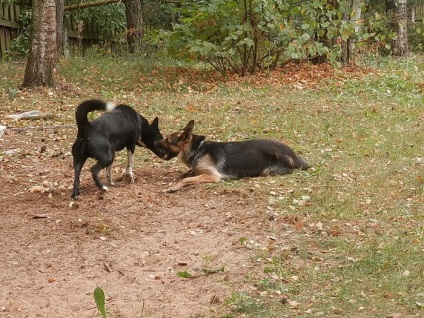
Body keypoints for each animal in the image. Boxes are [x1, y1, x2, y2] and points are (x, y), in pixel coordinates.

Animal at [161, 120, 310, 191]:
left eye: (167, 140)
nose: (156, 142)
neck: (198, 149)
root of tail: (293, 155)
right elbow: (187, 174)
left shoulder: (212, 175)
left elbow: (186, 179)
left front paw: (174, 187)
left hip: (267, 171)